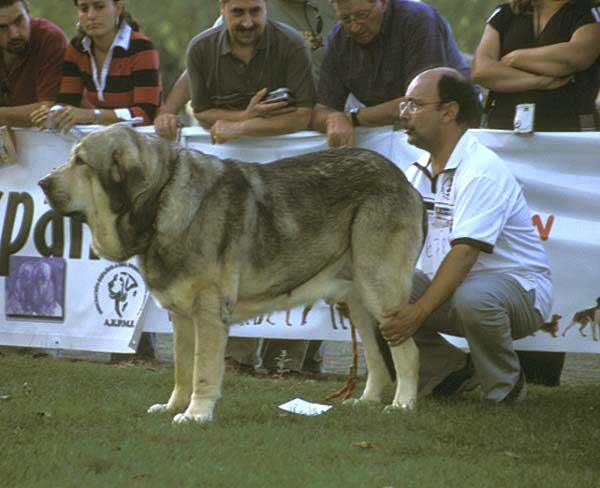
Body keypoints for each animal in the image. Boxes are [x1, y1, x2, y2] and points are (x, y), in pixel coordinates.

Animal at [39, 125, 426, 424]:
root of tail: (403, 179)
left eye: (81, 162)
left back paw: (402, 405)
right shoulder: (182, 317)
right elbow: (183, 368)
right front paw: (174, 406)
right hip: (357, 301)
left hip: (379, 288)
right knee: (377, 358)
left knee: (407, 352)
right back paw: (368, 401)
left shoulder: (209, 312)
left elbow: (202, 370)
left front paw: (196, 414)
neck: (162, 197)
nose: (42, 182)